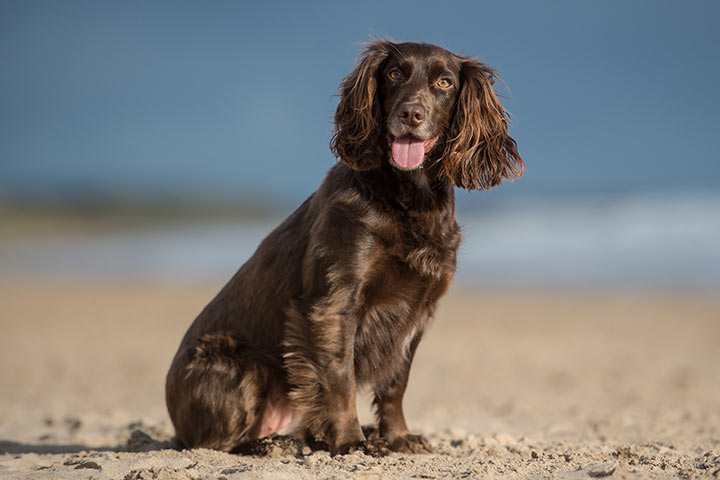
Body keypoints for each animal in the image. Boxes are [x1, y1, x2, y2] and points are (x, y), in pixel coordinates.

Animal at [165, 39, 524, 456]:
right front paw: (351, 440)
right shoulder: (334, 305)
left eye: (445, 82)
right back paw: (273, 444)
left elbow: (396, 384)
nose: (410, 114)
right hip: (238, 367)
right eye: (394, 74)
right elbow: (339, 378)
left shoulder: (418, 311)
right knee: (213, 443)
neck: (407, 196)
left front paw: (398, 437)